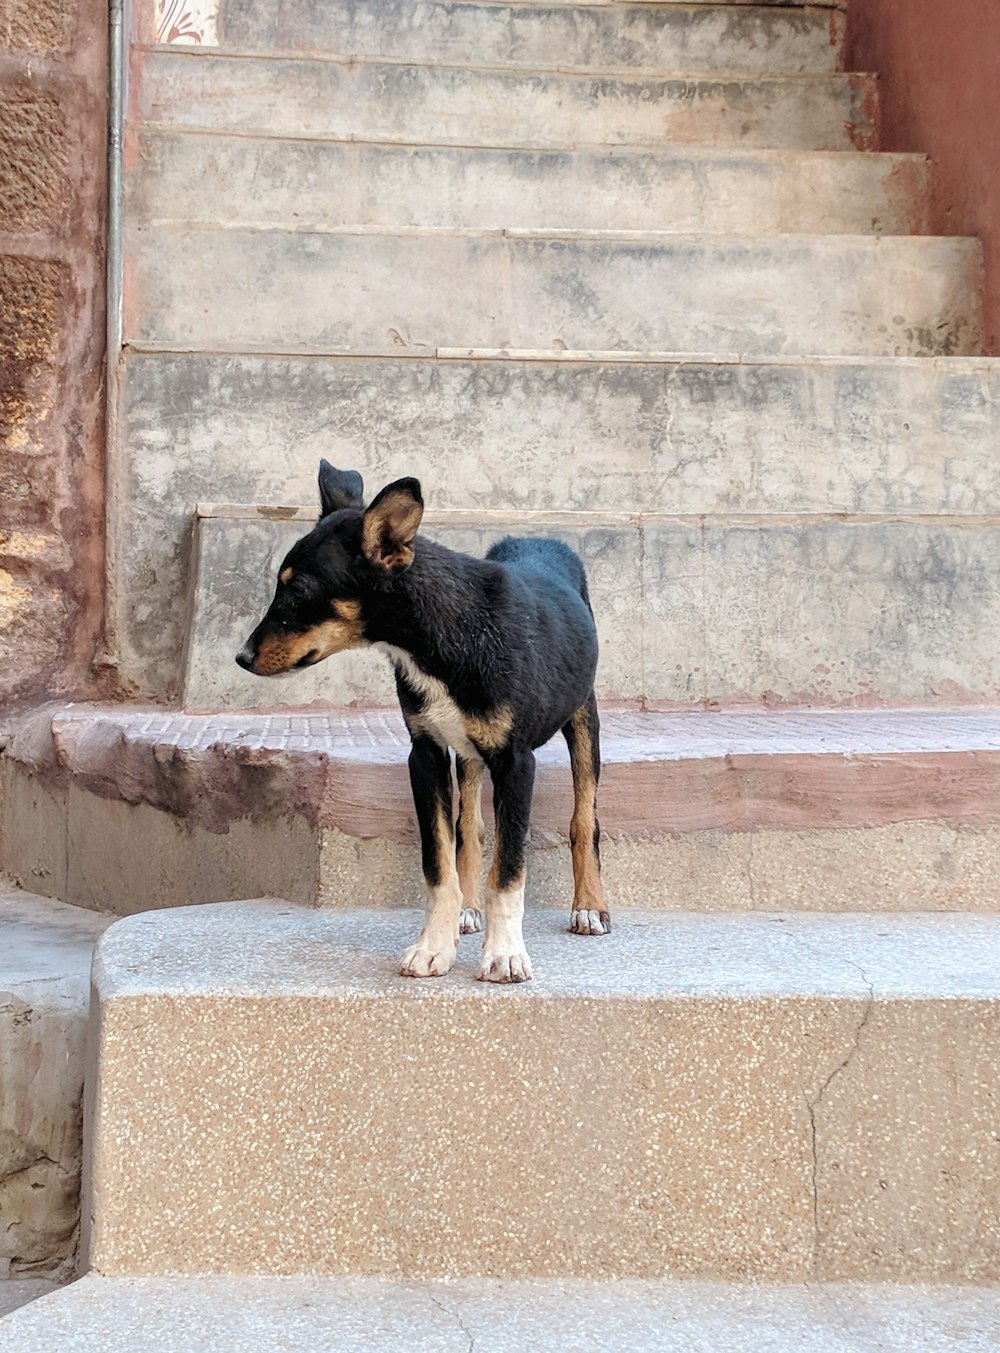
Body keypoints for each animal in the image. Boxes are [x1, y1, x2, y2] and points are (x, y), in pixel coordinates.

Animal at [240, 465, 608, 984]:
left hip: (583, 718)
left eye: (297, 591)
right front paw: (435, 945)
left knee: (583, 817)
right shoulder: (426, 754)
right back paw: (469, 908)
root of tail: (538, 538)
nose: (242, 657)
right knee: (470, 826)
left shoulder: (516, 762)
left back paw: (590, 905)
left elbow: (509, 870)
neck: (447, 637)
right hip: (469, 753)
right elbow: (439, 861)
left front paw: (505, 954)